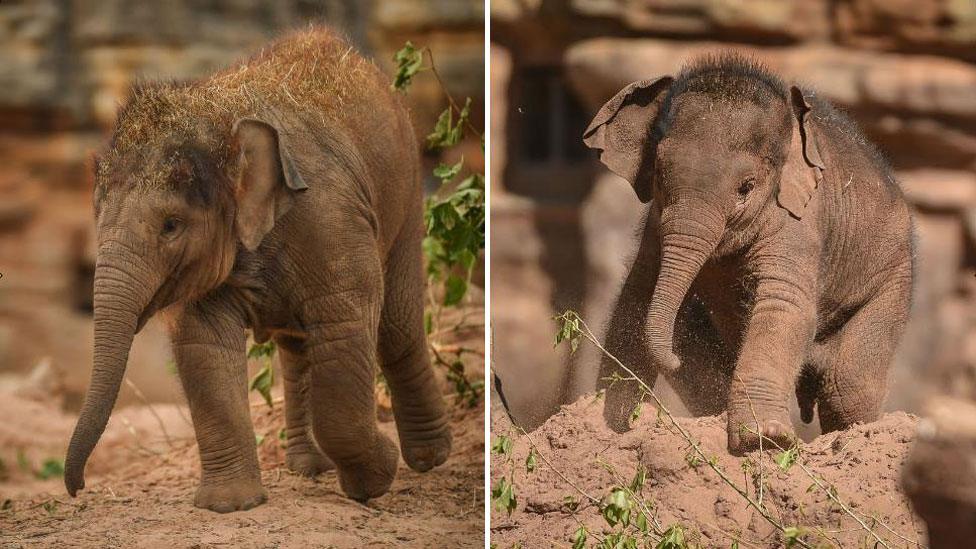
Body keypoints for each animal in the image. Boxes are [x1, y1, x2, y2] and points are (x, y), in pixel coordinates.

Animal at [63, 25, 452, 512]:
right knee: (298, 346)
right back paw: (310, 468)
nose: (78, 488)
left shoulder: (330, 219)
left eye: (171, 225)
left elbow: (343, 324)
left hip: (407, 186)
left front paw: (376, 476)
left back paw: (429, 459)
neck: (220, 119)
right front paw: (231, 504)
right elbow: (203, 342)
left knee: (395, 328)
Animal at [588, 53, 916, 452]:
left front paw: (764, 439)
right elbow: (638, 292)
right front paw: (610, 425)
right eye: (659, 178)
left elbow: (784, 305)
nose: (671, 359)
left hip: (894, 278)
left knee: (848, 386)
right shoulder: (655, 225)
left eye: (746, 187)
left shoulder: (799, 222)